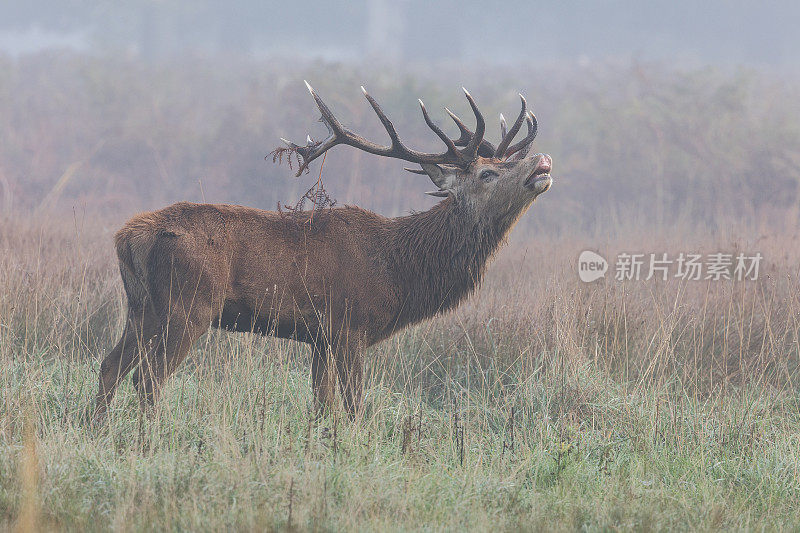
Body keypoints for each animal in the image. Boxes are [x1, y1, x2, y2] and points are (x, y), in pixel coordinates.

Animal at [89, 82, 552, 424]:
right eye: (487, 173)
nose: (542, 161)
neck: (398, 272)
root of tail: (128, 237)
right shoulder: (349, 326)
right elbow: (352, 407)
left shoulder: (320, 337)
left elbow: (321, 405)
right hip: (189, 303)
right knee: (148, 378)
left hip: (143, 306)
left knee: (110, 366)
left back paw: (98, 431)